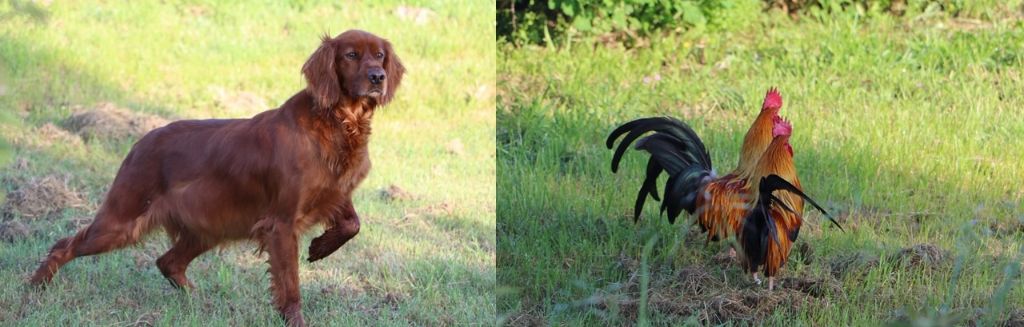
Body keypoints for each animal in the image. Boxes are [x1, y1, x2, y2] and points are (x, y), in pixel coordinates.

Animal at [29, 29, 403, 325]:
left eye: (380, 56)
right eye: (351, 55)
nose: (377, 78)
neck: (337, 122)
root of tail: (143, 141)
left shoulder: (335, 194)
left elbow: (353, 224)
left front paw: (320, 248)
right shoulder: (281, 223)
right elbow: (290, 284)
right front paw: (296, 316)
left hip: (206, 228)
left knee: (168, 262)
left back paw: (199, 300)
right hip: (122, 220)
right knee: (64, 245)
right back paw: (34, 288)